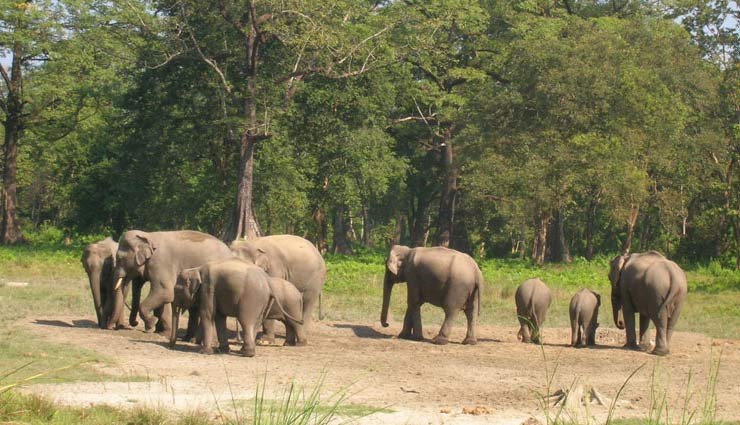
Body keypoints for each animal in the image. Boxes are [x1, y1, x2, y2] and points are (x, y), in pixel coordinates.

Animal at [175, 256, 304, 356]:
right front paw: (222, 350)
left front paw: (205, 352)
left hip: (254, 299)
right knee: (261, 323)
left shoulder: (208, 287)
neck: (197, 268)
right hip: (265, 302)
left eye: (178, 289)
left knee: (247, 321)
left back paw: (248, 353)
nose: (172, 345)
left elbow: (207, 314)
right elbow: (219, 317)